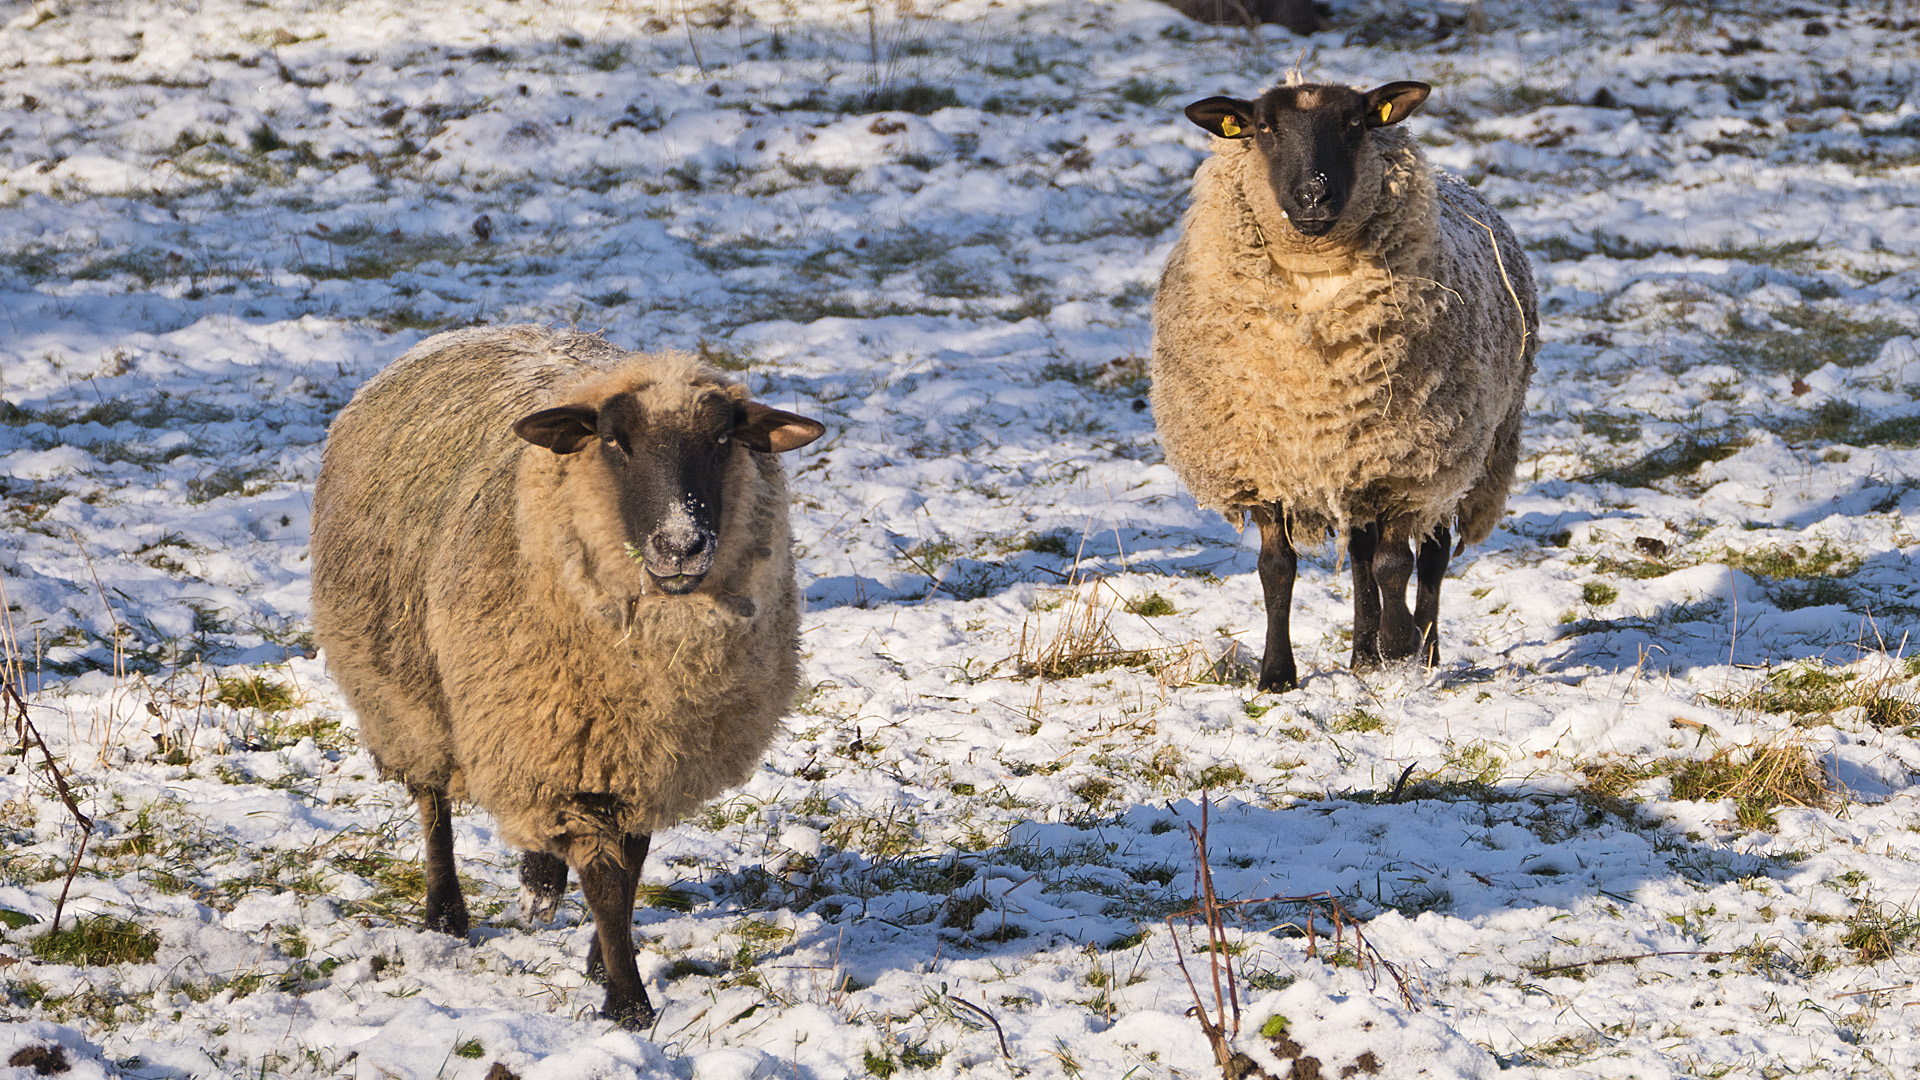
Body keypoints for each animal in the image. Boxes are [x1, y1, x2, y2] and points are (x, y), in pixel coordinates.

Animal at [311, 322, 821, 1022]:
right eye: (614, 440)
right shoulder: (574, 749)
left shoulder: (636, 754)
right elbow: (605, 881)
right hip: (406, 692)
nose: (681, 546)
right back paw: (446, 914)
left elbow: (629, 867)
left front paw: (604, 963)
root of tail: (480, 326)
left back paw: (539, 881)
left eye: (723, 441)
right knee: (433, 799)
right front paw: (628, 1004)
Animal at [1144, 79, 1536, 691]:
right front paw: (1277, 673)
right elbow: (1277, 570)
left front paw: (1399, 646)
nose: (1312, 196)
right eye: (1264, 128)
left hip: (1460, 452)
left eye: (1355, 124)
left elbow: (1396, 564)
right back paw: (1361, 654)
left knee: (1430, 554)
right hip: (1359, 461)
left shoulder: (1406, 463)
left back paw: (1422, 649)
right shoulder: (1266, 464)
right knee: (1359, 553)